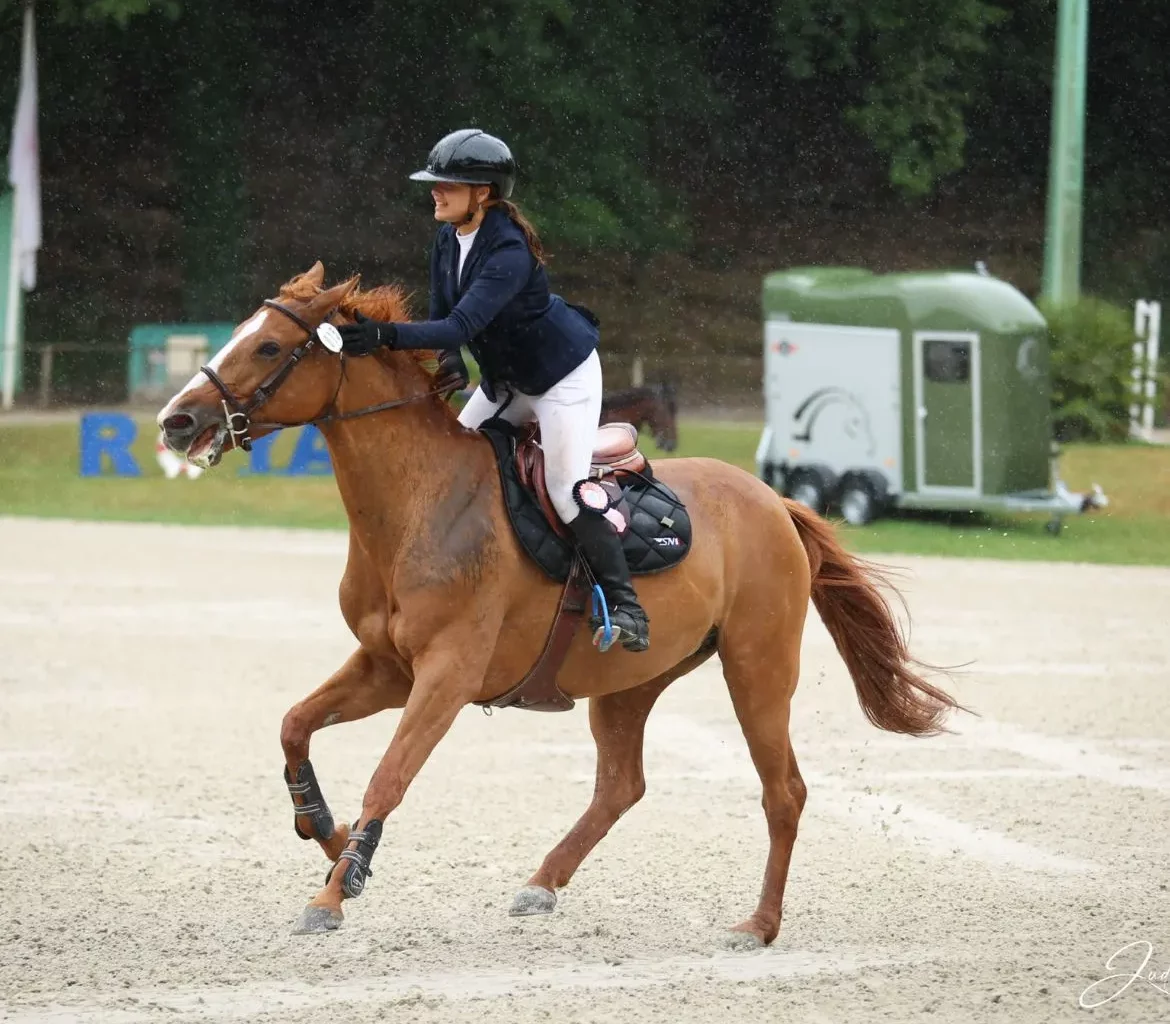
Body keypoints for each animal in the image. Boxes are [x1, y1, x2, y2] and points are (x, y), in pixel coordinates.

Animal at [157, 262, 962, 944]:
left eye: (267, 346)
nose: (176, 421)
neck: (416, 505)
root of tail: (772, 500)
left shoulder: (445, 677)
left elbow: (390, 774)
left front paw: (334, 890)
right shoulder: (387, 667)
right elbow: (295, 725)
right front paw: (328, 838)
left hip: (757, 668)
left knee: (783, 792)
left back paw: (757, 925)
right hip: (632, 681)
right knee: (622, 785)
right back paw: (542, 883)